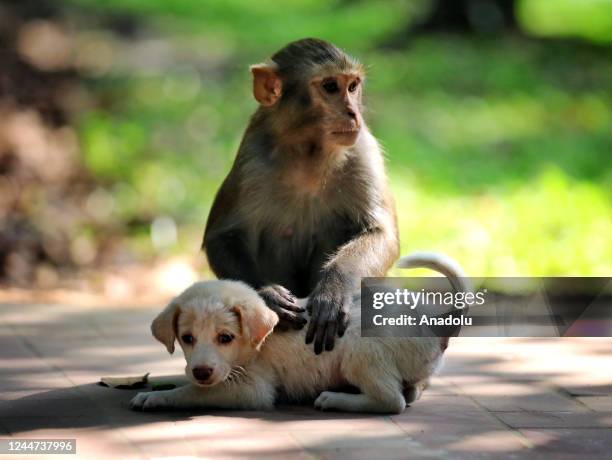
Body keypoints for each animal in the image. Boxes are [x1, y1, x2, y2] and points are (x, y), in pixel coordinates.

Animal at [131, 253, 468, 416]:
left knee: (391, 400)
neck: (254, 345)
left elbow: (193, 392)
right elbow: (191, 385)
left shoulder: (251, 389)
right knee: (409, 391)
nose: (202, 371)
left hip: (361, 351)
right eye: (186, 339)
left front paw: (156, 397)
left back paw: (335, 399)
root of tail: (436, 322)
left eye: (225, 338)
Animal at [203, 38, 400, 356]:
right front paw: (267, 294)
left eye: (352, 86)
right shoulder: (252, 157)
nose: (353, 113)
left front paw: (333, 289)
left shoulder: (363, 150)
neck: (309, 151)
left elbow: (380, 233)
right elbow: (221, 237)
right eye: (330, 86)